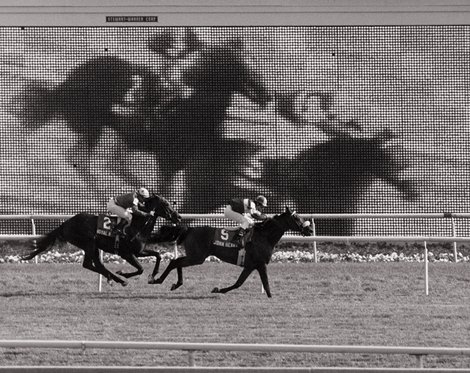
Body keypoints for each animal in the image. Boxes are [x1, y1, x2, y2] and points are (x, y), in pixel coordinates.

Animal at [21, 193, 182, 284]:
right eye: (166, 204)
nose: (178, 217)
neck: (137, 225)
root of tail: (66, 223)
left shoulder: (139, 251)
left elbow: (158, 255)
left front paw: (153, 275)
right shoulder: (126, 253)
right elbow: (140, 268)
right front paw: (123, 273)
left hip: (93, 246)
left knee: (92, 265)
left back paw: (113, 278)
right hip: (89, 244)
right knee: (94, 265)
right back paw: (117, 279)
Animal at [149, 206, 314, 296]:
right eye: (297, 218)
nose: (310, 230)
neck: (264, 236)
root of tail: (189, 229)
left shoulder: (250, 266)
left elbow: (239, 283)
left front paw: (218, 290)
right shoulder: (260, 264)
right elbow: (265, 284)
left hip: (195, 256)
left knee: (178, 262)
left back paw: (175, 283)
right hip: (197, 256)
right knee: (175, 262)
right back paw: (157, 279)